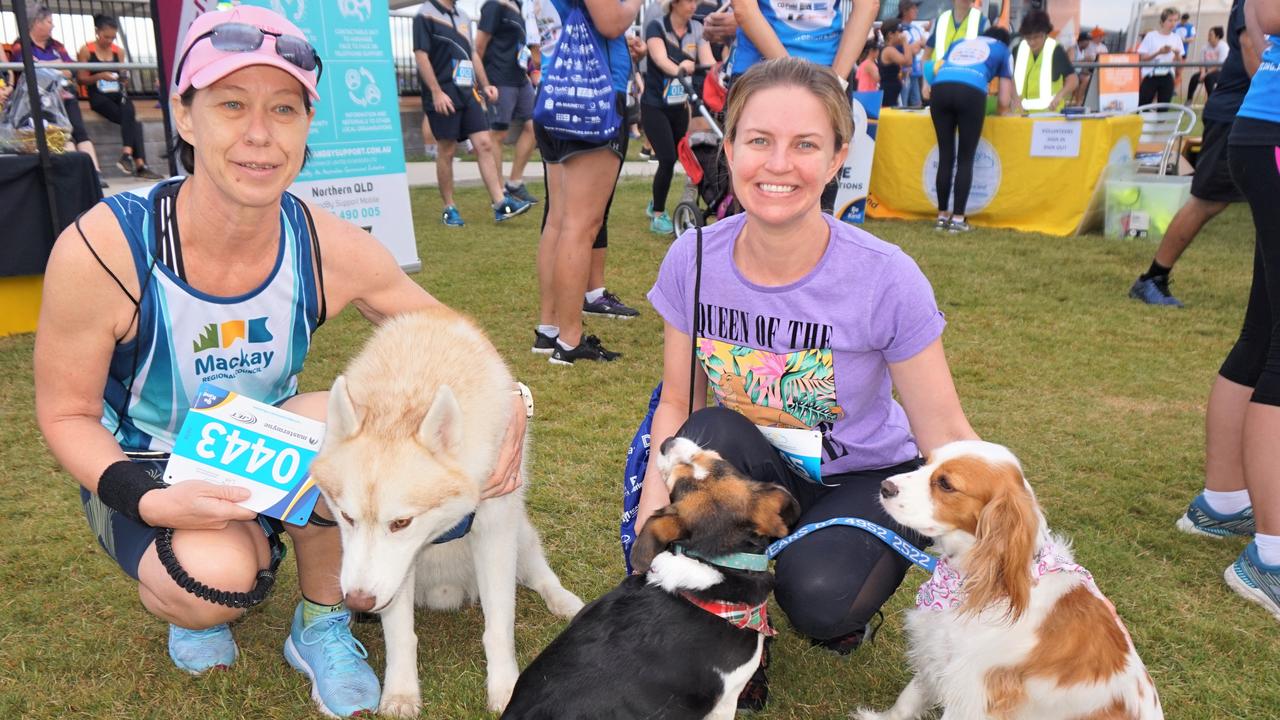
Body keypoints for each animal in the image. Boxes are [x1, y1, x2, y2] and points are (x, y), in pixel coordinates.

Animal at [309, 307, 586, 712]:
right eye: (346, 517)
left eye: (401, 522)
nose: (357, 600)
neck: (409, 388)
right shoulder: (395, 574)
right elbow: (401, 636)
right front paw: (401, 694)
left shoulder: (494, 534)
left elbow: (499, 628)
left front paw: (505, 688)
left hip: (519, 536)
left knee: (541, 575)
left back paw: (564, 601)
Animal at [860, 438, 1162, 717]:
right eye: (925, 462)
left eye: (945, 484)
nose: (885, 486)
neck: (988, 581)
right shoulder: (936, 653)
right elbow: (908, 699)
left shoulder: (973, 692)